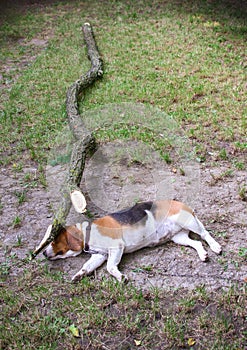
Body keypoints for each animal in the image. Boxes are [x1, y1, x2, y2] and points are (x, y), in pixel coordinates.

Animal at [43, 200, 223, 282]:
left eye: (53, 240)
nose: (43, 253)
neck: (88, 232)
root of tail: (181, 203)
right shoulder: (100, 255)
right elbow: (87, 266)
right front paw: (79, 274)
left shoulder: (116, 248)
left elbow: (110, 267)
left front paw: (120, 277)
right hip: (179, 237)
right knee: (197, 243)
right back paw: (203, 255)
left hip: (189, 222)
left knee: (205, 234)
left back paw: (215, 246)